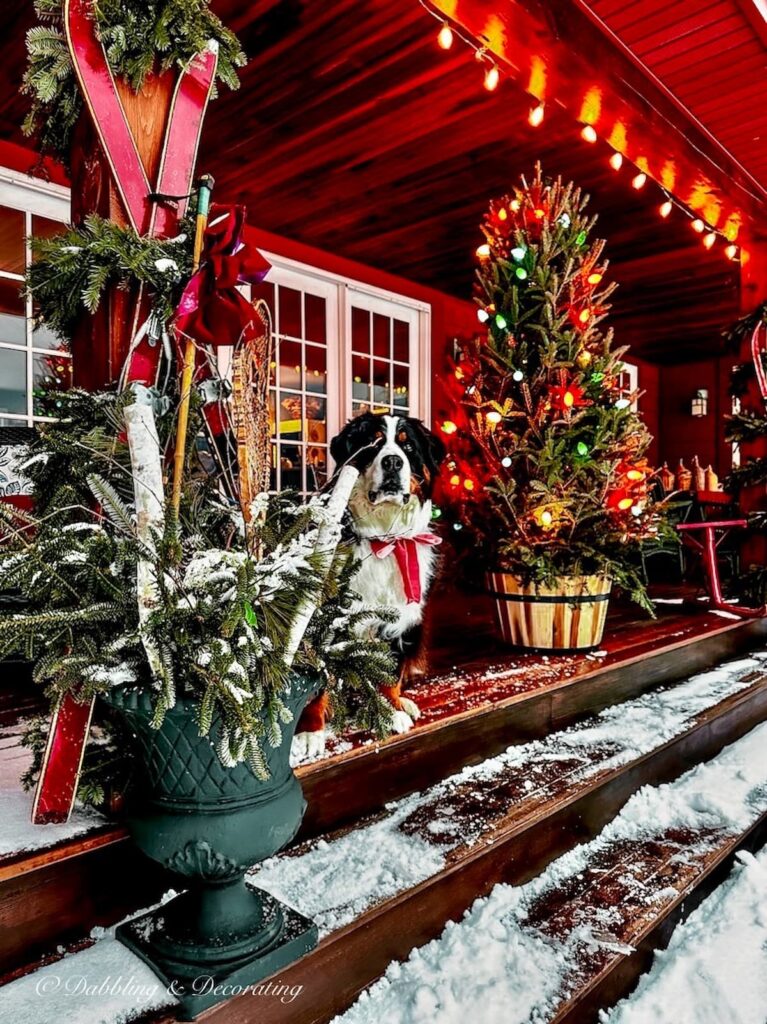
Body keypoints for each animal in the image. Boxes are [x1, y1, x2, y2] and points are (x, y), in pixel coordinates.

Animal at [292, 409, 448, 761]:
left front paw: (391, 710)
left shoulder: (398, 618)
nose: (392, 462)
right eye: (373, 444)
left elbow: (389, 673)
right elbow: (316, 683)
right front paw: (308, 731)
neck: (383, 541)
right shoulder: (323, 618)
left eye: (408, 447)